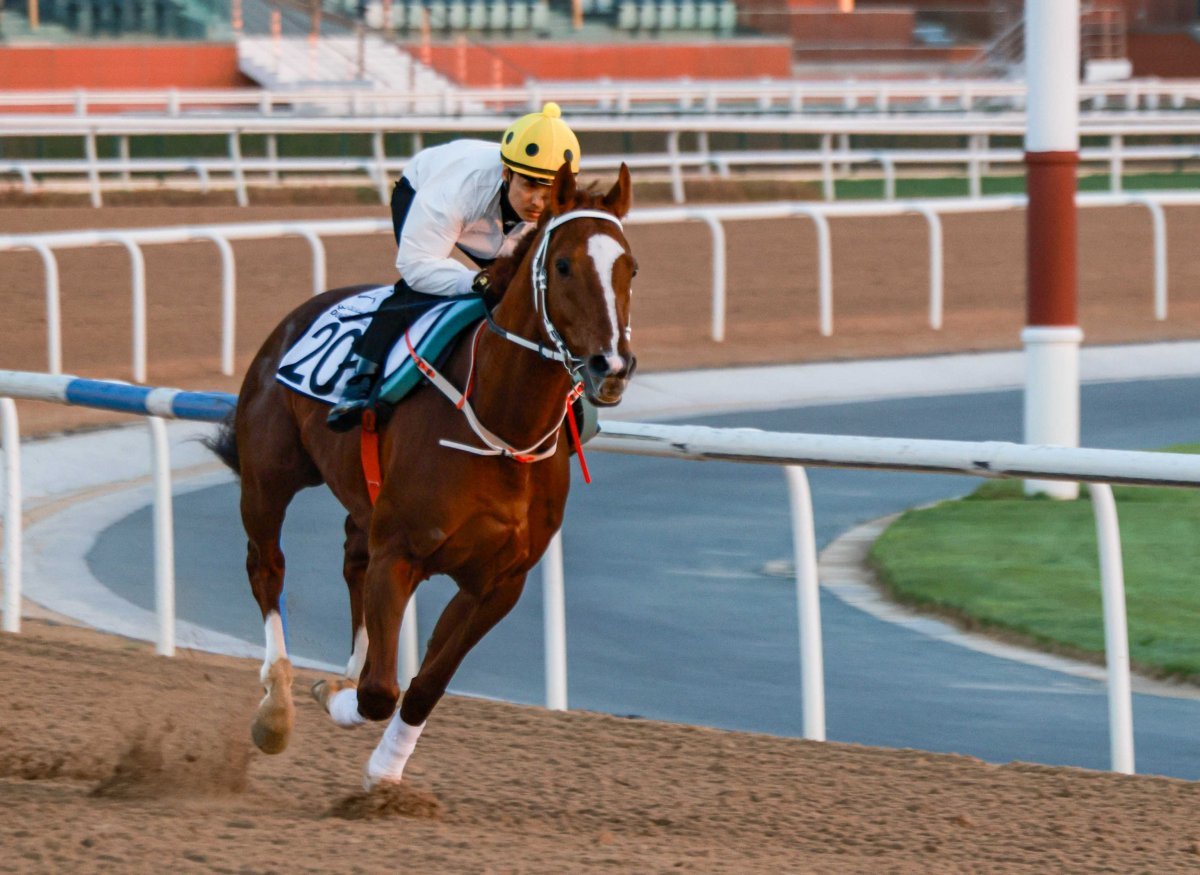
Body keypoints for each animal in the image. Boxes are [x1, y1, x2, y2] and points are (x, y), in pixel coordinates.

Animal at [206, 162, 638, 787]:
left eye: (631, 267)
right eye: (562, 265)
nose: (613, 366)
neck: (501, 427)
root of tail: (296, 318)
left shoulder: (497, 583)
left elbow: (424, 685)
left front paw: (384, 771)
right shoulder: (402, 553)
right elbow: (379, 692)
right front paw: (331, 697)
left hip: (361, 501)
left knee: (351, 561)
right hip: (269, 477)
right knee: (267, 567)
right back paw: (277, 708)